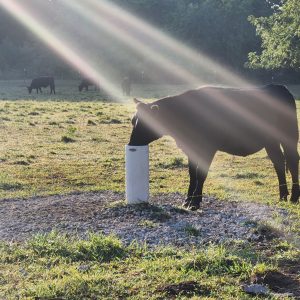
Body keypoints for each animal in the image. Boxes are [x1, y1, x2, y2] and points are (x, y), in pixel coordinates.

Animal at [129, 84, 300, 210]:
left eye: (146, 123)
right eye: (132, 121)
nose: (131, 144)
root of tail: (277, 87)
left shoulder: (208, 147)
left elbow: (201, 174)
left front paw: (195, 203)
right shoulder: (191, 148)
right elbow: (192, 174)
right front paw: (187, 200)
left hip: (289, 137)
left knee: (292, 163)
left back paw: (293, 198)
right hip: (270, 142)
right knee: (279, 163)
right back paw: (282, 196)